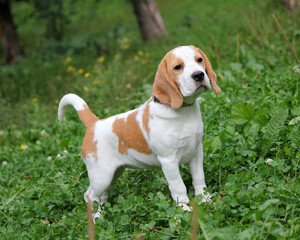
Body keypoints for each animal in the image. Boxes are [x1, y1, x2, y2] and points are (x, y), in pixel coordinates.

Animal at [58, 45, 220, 219]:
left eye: (199, 60)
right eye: (178, 67)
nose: (199, 75)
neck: (182, 112)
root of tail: (93, 123)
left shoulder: (196, 152)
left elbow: (199, 179)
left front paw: (206, 200)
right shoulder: (169, 161)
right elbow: (178, 187)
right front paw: (183, 209)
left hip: (113, 174)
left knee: (100, 195)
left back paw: (103, 211)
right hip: (102, 176)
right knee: (89, 196)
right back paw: (96, 219)